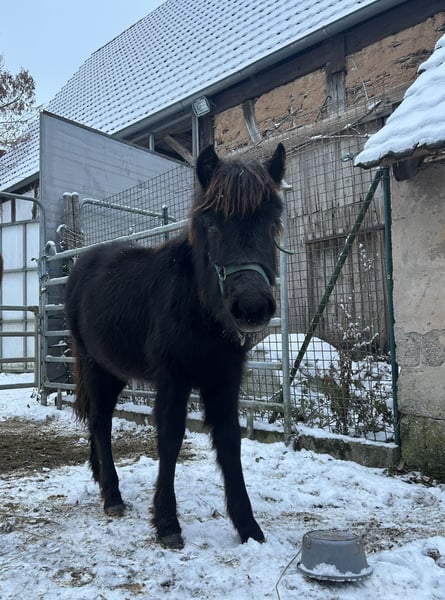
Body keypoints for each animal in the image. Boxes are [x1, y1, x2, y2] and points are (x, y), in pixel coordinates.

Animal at [64, 143, 286, 549]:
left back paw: (98, 475)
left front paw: (248, 526)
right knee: (101, 421)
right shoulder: (173, 380)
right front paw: (167, 522)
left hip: (114, 369)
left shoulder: (225, 382)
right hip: (93, 365)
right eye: (212, 224)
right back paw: (112, 494)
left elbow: (230, 441)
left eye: (272, 221)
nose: (251, 307)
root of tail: (81, 263)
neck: (199, 309)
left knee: (96, 420)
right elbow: (170, 439)